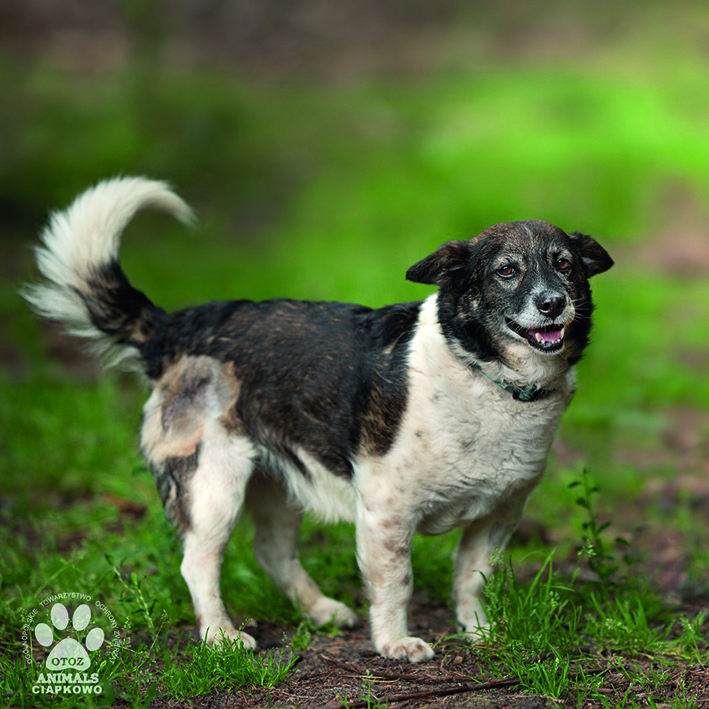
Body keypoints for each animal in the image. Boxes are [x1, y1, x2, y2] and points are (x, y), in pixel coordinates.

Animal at [26, 176, 612, 660]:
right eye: (506, 270)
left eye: (564, 264)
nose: (553, 303)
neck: (485, 376)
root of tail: (177, 326)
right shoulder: (386, 514)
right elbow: (396, 582)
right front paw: (395, 643)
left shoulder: (498, 514)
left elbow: (471, 579)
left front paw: (481, 632)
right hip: (213, 485)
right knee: (198, 564)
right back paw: (221, 636)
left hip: (278, 483)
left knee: (270, 552)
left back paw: (321, 610)